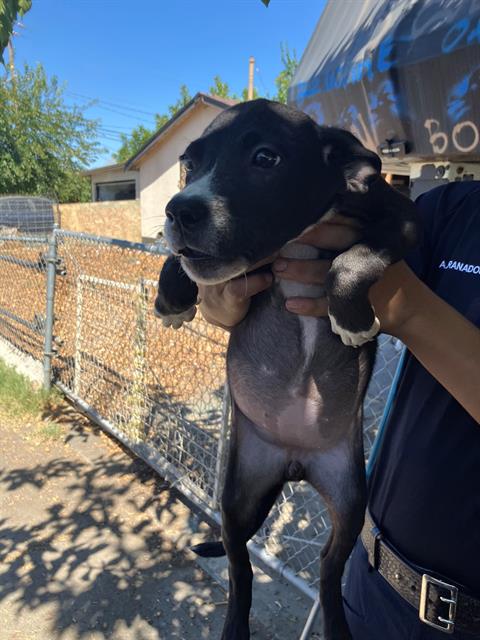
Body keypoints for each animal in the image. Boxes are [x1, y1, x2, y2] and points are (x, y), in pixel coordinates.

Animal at [155, 100, 416, 640]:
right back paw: (234, 626)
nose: (178, 210)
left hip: (349, 498)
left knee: (329, 569)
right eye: (189, 163)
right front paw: (172, 298)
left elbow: (354, 259)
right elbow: (178, 258)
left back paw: (336, 627)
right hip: (239, 493)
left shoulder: (402, 218)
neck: (300, 237)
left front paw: (350, 318)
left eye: (265, 158)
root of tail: (295, 463)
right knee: (240, 567)